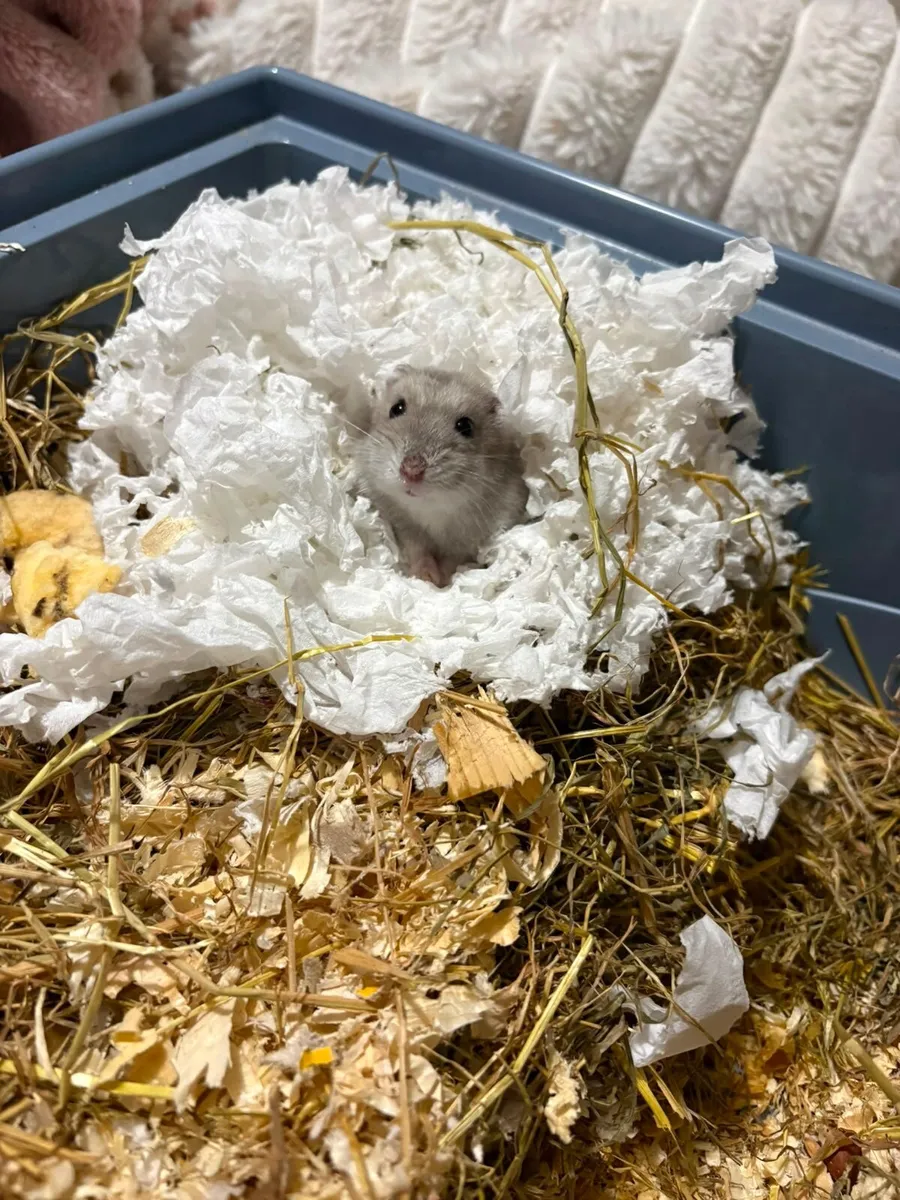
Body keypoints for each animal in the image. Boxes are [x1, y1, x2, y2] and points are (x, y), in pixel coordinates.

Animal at [352, 366, 528, 586]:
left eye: (466, 426)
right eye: (397, 408)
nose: (411, 471)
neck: (430, 509)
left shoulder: (469, 538)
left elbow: (452, 559)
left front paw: (439, 581)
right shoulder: (403, 526)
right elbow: (418, 550)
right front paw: (424, 576)